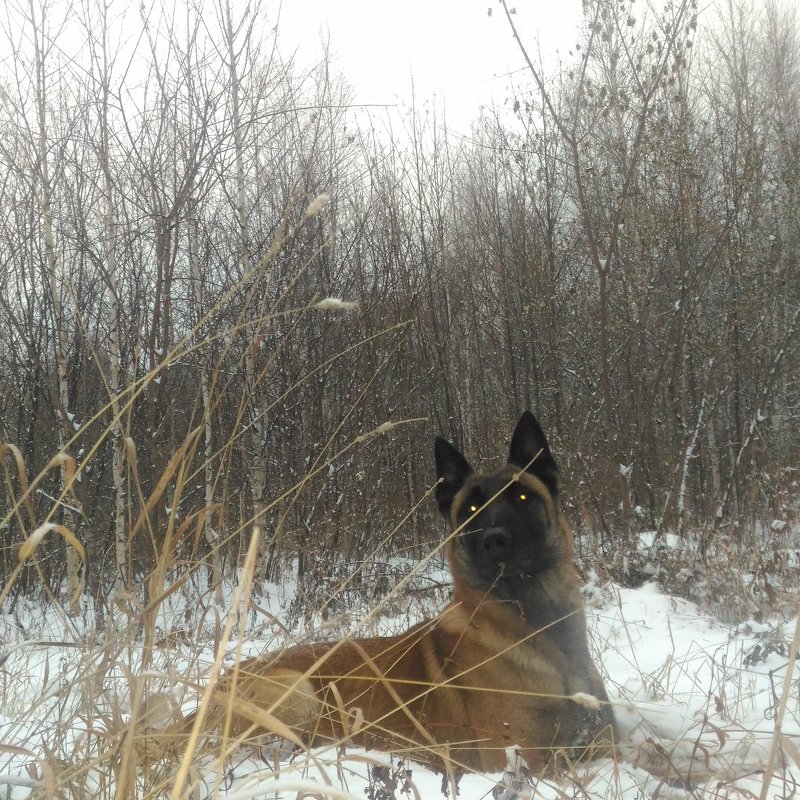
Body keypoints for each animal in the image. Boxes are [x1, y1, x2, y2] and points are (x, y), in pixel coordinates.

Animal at [195, 410, 620, 772]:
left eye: (521, 497)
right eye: (469, 511)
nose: (494, 541)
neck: (538, 630)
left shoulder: (605, 742)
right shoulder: (524, 760)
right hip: (297, 692)